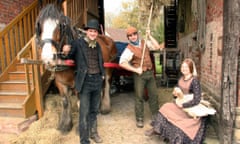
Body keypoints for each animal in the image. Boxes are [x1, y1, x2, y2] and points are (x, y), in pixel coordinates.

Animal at [35, 3, 117, 133]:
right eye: (39, 26)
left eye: (60, 26)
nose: (48, 57)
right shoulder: (60, 82)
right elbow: (65, 102)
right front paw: (65, 125)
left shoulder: (80, 83)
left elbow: (80, 103)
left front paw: (81, 127)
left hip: (108, 70)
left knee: (107, 86)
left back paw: (105, 107)